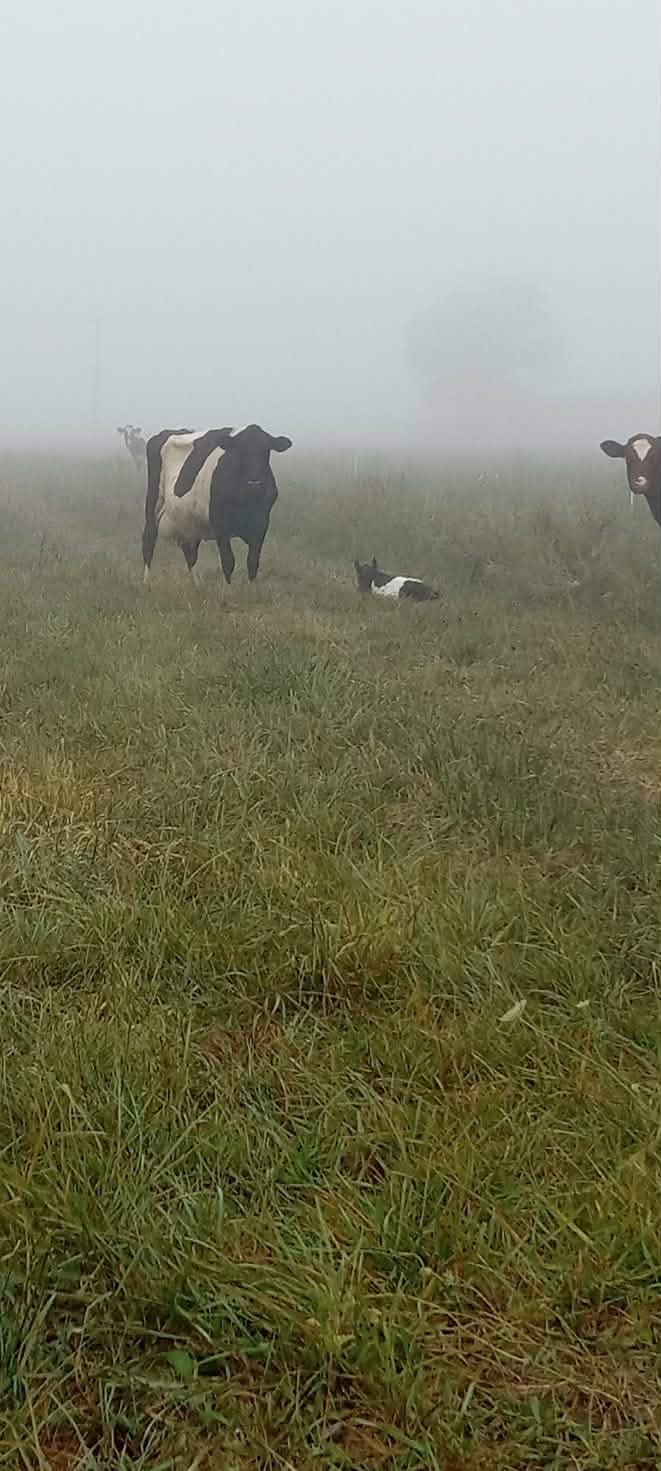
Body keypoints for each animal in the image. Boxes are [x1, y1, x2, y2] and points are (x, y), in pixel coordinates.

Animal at [142, 424, 292, 584]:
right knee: (149, 540)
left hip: (189, 521)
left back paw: (197, 584)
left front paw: (251, 587)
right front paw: (228, 587)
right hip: (153, 503)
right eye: (240, 451)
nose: (254, 482)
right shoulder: (220, 524)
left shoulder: (261, 524)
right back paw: (146, 582)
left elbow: (253, 561)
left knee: (190, 552)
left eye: (266, 451)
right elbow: (228, 561)